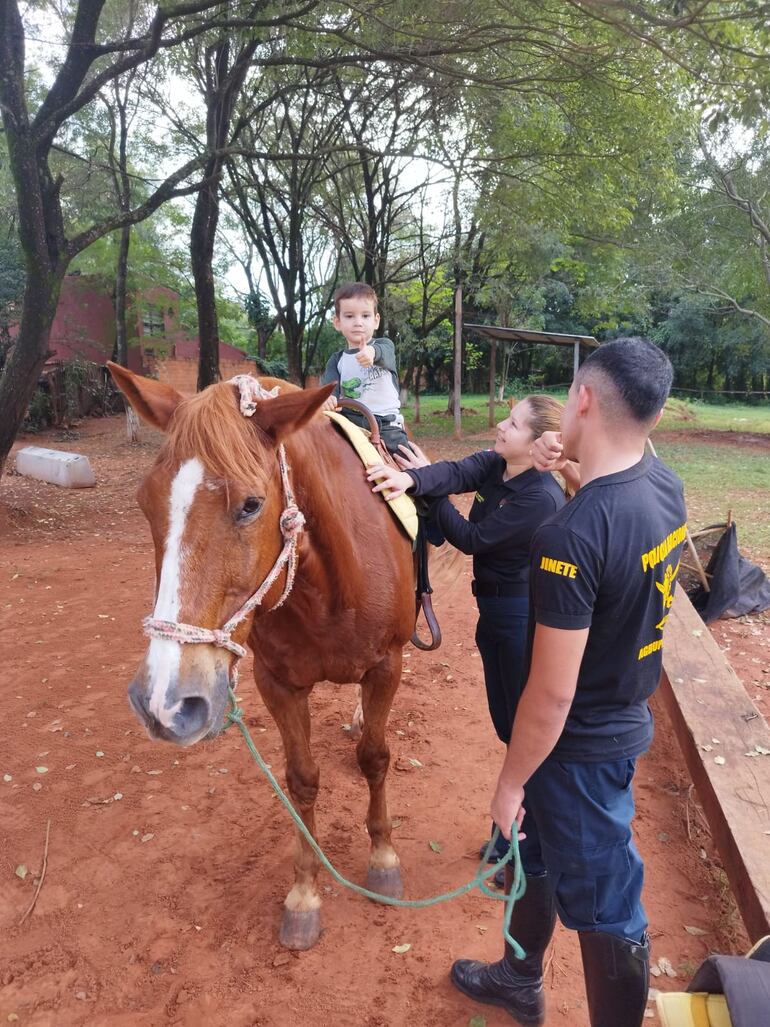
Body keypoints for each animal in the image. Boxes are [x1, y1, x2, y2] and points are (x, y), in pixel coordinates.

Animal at [108, 365, 416, 948]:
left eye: (251, 504)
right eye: (144, 502)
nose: (163, 703)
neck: (328, 589)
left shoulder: (386, 665)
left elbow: (375, 757)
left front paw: (385, 859)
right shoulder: (279, 684)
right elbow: (301, 780)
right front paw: (305, 893)